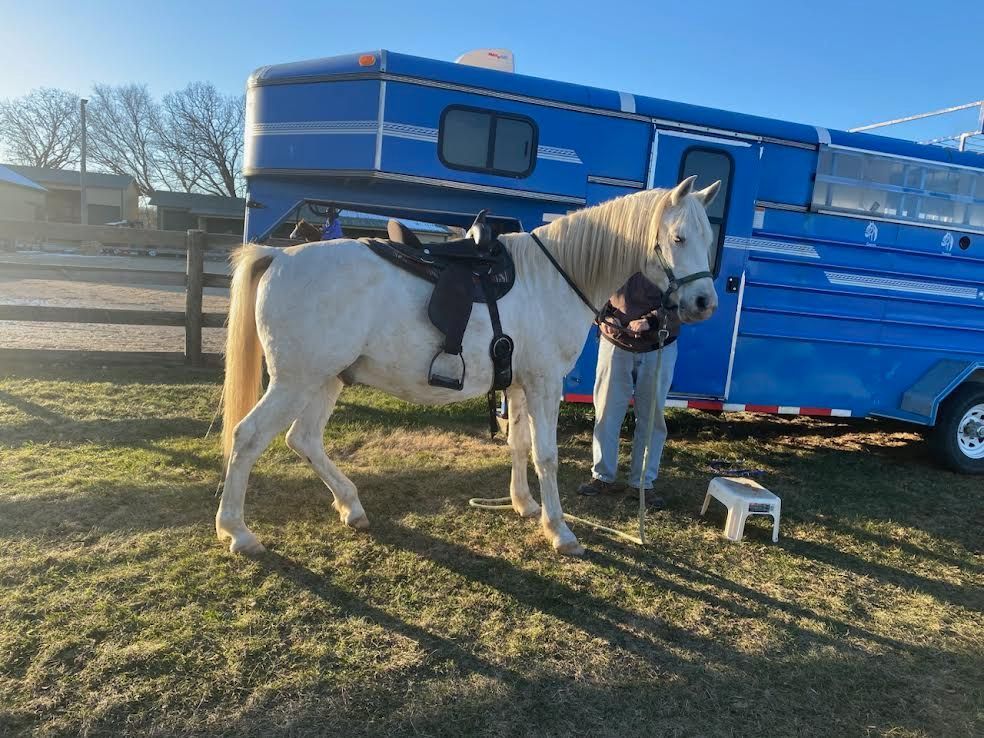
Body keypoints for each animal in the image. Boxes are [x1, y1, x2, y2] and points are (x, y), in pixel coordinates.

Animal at [217, 175, 721, 557]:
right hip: (296, 382)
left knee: (302, 439)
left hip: (325, 380)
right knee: (248, 437)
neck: (552, 277)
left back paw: (351, 506)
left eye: (710, 238)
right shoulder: (544, 384)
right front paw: (560, 531)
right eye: (678, 237)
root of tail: (280, 256)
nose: (704, 303)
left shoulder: (518, 384)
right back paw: (237, 531)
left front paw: (524, 505)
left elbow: (519, 444)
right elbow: (546, 455)